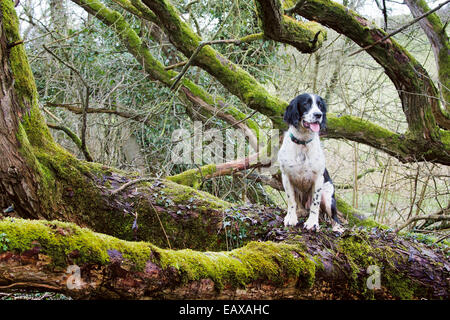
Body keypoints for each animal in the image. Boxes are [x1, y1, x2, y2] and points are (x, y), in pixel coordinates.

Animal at [276, 92, 342, 232]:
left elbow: (315, 204)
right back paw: (299, 212)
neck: (303, 143)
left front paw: (312, 223)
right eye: (306, 103)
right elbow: (291, 200)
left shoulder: (318, 179)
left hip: (328, 197)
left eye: (320, 105)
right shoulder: (286, 177)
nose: (318, 115)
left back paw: (337, 228)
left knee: (334, 217)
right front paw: (291, 218)